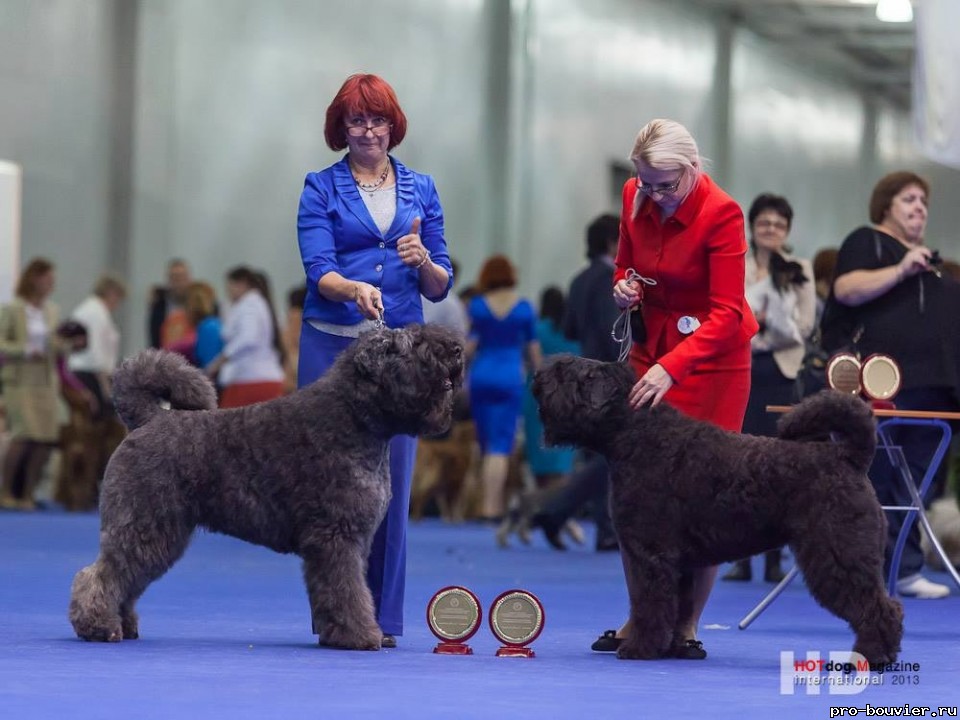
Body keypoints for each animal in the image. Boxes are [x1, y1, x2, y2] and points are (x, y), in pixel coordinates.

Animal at [69, 326, 464, 652]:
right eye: (412, 344)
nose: (457, 349)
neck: (353, 418)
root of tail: (151, 419)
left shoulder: (352, 540)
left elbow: (343, 591)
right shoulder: (336, 538)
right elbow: (348, 591)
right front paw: (360, 636)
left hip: (160, 533)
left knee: (126, 578)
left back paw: (123, 625)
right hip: (145, 524)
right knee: (101, 573)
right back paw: (98, 626)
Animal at [536, 358, 904, 668]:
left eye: (565, 373)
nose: (538, 374)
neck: (636, 435)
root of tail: (849, 456)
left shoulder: (650, 554)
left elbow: (648, 604)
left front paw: (641, 647)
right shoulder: (675, 561)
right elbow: (675, 604)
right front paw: (670, 647)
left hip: (839, 554)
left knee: (879, 607)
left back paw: (871, 655)